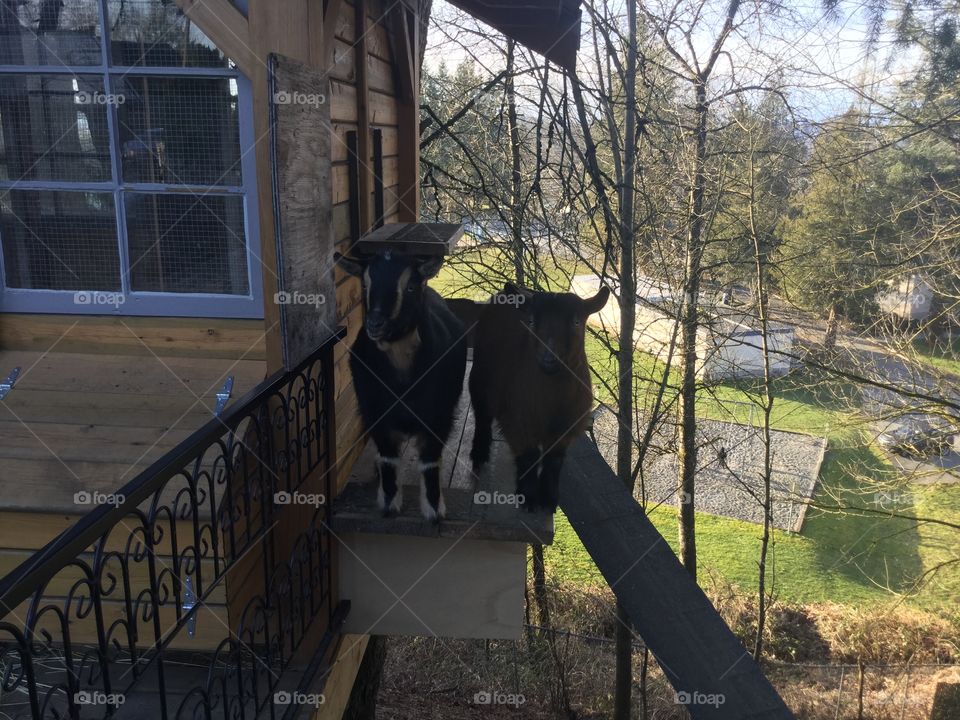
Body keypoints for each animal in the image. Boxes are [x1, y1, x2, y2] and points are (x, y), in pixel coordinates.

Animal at [335, 251, 467, 521]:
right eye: (365, 285)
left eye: (410, 286)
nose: (375, 323)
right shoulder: (374, 412)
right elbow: (388, 457)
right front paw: (389, 502)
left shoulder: (439, 415)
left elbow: (430, 461)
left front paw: (434, 509)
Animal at [469, 283, 609, 512]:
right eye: (532, 321)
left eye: (576, 322)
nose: (548, 357)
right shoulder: (518, 422)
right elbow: (529, 456)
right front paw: (527, 497)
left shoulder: (567, 428)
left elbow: (554, 461)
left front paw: (549, 498)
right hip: (480, 375)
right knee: (481, 415)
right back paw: (479, 453)